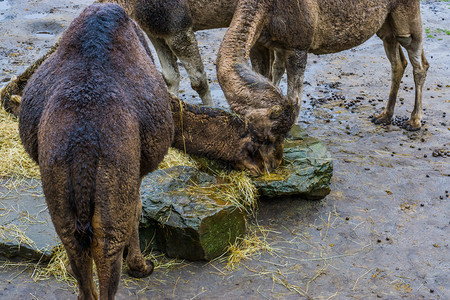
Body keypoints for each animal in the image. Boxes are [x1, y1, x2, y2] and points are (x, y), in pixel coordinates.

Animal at [218, 0, 428, 135]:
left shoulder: (298, 46)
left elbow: (295, 98)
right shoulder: (268, 42)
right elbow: (273, 76)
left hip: (406, 17)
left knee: (419, 62)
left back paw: (414, 121)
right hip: (386, 24)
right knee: (398, 61)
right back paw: (384, 116)